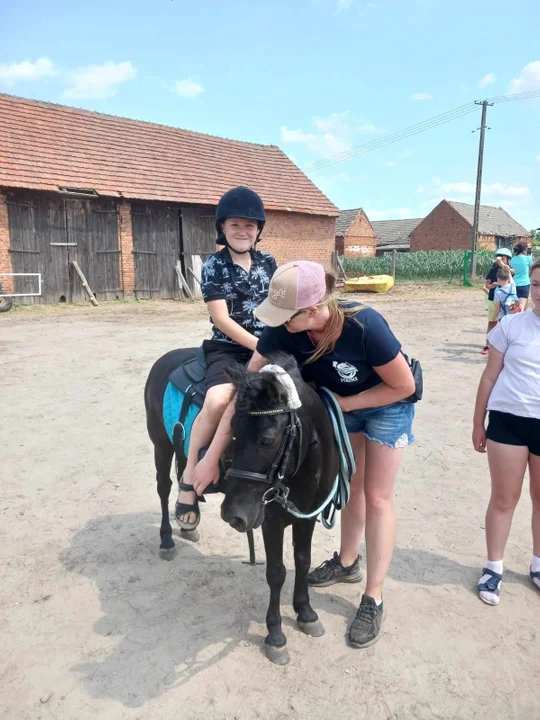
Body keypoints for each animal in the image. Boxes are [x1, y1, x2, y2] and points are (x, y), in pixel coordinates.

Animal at [143, 348, 338, 664]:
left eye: (267, 440)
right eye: (231, 430)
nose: (232, 515)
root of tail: (166, 358)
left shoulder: (307, 516)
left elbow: (303, 561)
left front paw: (306, 613)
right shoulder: (271, 522)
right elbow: (276, 573)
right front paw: (275, 636)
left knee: (186, 473)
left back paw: (188, 520)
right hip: (161, 445)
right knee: (163, 488)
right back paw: (167, 540)